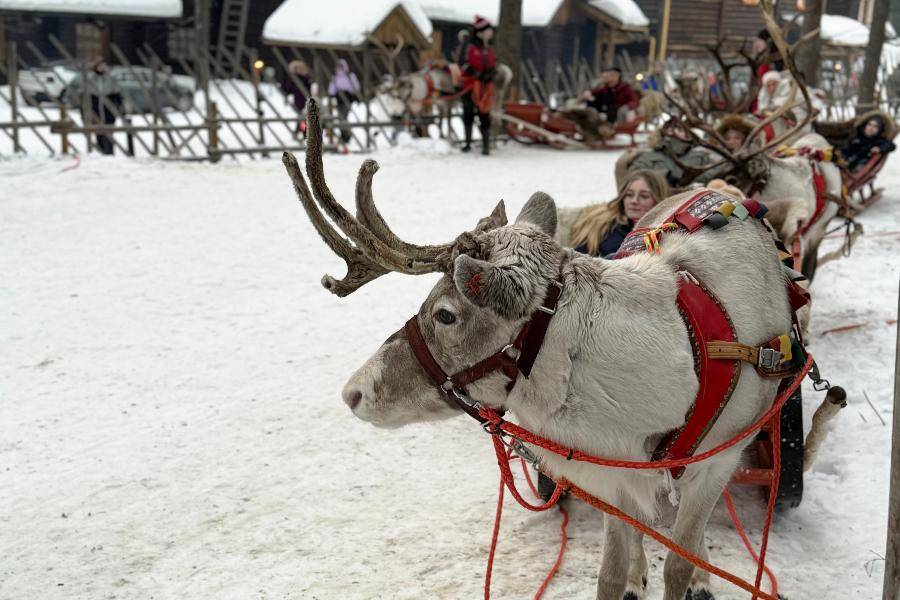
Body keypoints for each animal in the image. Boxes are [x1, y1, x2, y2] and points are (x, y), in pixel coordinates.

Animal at [284, 90, 819, 599]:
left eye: (445, 313)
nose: (353, 392)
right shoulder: (613, 475)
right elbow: (610, 573)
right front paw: (627, 577)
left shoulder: (718, 463)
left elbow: (680, 565)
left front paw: (695, 577)